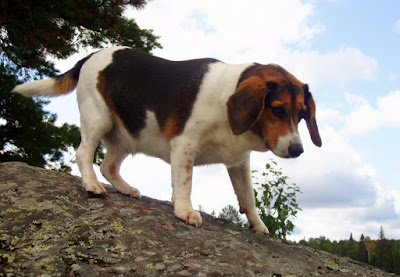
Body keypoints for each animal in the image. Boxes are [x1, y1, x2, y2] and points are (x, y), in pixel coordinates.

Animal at [11, 46, 322, 232]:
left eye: (302, 113)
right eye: (278, 109)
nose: (297, 149)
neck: (227, 96)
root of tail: (91, 55)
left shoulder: (239, 162)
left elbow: (248, 197)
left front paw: (258, 227)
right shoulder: (184, 146)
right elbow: (184, 183)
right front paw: (184, 211)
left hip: (127, 134)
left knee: (108, 165)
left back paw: (125, 189)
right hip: (98, 118)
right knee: (84, 154)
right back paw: (91, 185)